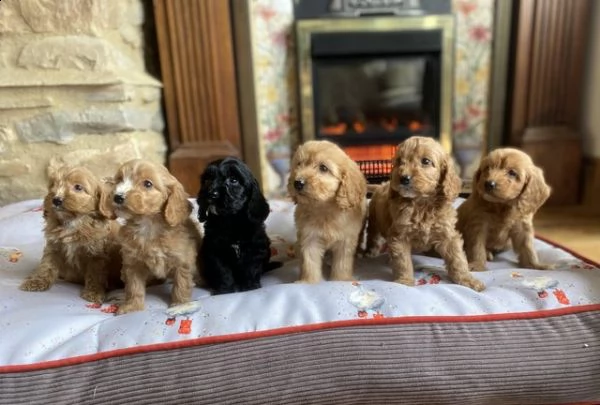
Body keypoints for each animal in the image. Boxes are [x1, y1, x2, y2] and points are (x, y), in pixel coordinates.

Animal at [19, 163, 122, 302]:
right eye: (53, 185)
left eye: (78, 187)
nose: (56, 199)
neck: (73, 221)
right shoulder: (54, 247)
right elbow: (47, 265)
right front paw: (37, 281)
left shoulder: (96, 255)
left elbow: (95, 275)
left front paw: (93, 292)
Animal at [99, 159, 200, 314]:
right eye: (120, 180)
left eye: (147, 184)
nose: (117, 196)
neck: (148, 225)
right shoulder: (132, 263)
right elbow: (134, 287)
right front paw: (132, 306)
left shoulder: (183, 261)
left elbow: (181, 285)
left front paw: (180, 305)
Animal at [198, 155, 280, 294]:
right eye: (207, 180)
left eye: (234, 180)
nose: (211, 194)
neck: (231, 221)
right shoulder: (215, 250)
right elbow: (222, 271)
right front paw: (225, 290)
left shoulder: (256, 248)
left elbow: (251, 268)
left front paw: (250, 287)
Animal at [286, 140, 366, 282]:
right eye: (299, 164)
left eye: (323, 168)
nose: (297, 183)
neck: (324, 209)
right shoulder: (309, 237)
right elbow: (309, 263)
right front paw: (308, 281)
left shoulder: (345, 241)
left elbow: (342, 264)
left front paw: (340, 280)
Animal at [364, 136, 486, 290]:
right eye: (399, 161)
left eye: (426, 161)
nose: (403, 178)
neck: (422, 204)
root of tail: (382, 185)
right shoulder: (400, 236)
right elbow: (403, 261)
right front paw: (404, 282)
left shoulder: (448, 235)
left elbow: (457, 259)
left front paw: (467, 280)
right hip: (374, 219)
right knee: (373, 236)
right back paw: (371, 252)